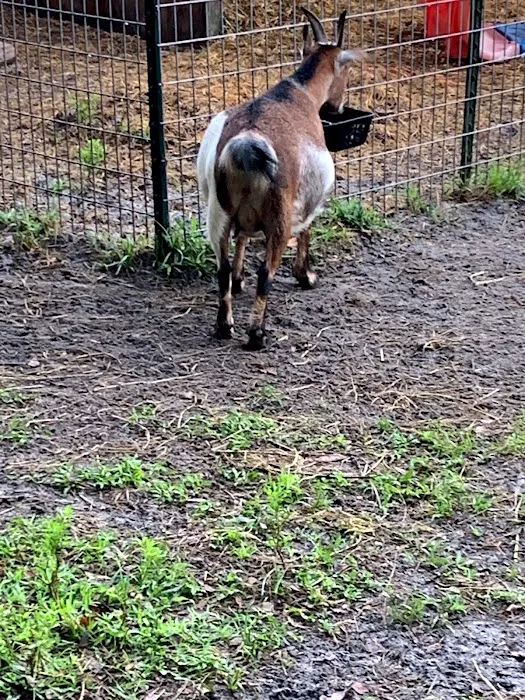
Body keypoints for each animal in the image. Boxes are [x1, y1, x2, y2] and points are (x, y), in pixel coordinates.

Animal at [197, 8, 362, 350]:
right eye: (346, 71)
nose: (338, 108)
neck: (298, 93)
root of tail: (246, 145)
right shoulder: (305, 199)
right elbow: (307, 231)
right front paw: (306, 275)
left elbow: (243, 239)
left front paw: (239, 279)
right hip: (279, 215)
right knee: (266, 272)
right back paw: (256, 334)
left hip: (218, 213)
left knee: (220, 266)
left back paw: (224, 325)